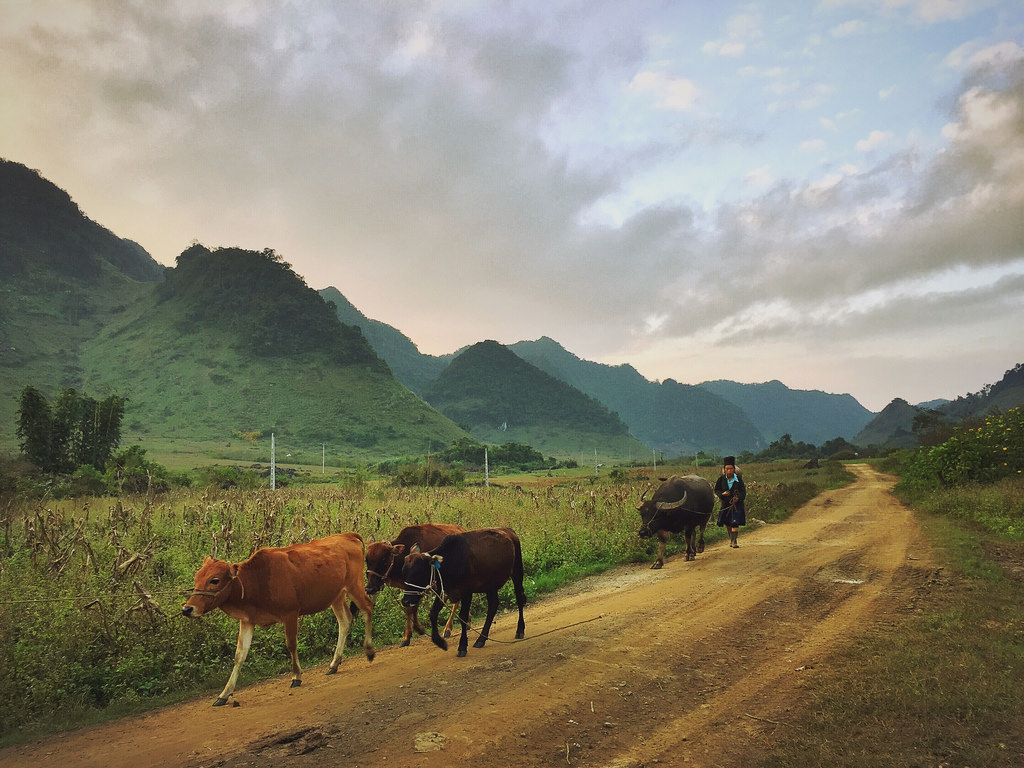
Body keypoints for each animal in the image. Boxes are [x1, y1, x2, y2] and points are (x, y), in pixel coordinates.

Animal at [181, 532, 376, 708]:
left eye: (214, 580)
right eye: (197, 577)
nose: (187, 609)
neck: (256, 580)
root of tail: (349, 535)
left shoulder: (290, 613)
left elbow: (291, 645)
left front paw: (296, 676)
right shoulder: (247, 621)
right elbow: (239, 656)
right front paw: (224, 694)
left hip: (354, 585)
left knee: (367, 607)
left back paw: (369, 650)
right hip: (335, 596)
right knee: (345, 621)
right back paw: (334, 664)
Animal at [399, 528, 528, 663]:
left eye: (418, 573)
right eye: (403, 573)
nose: (406, 601)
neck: (450, 561)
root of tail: (508, 530)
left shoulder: (467, 592)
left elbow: (463, 617)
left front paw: (462, 646)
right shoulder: (444, 591)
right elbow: (433, 613)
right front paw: (440, 642)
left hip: (517, 572)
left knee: (519, 599)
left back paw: (520, 630)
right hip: (490, 585)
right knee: (493, 605)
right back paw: (481, 639)